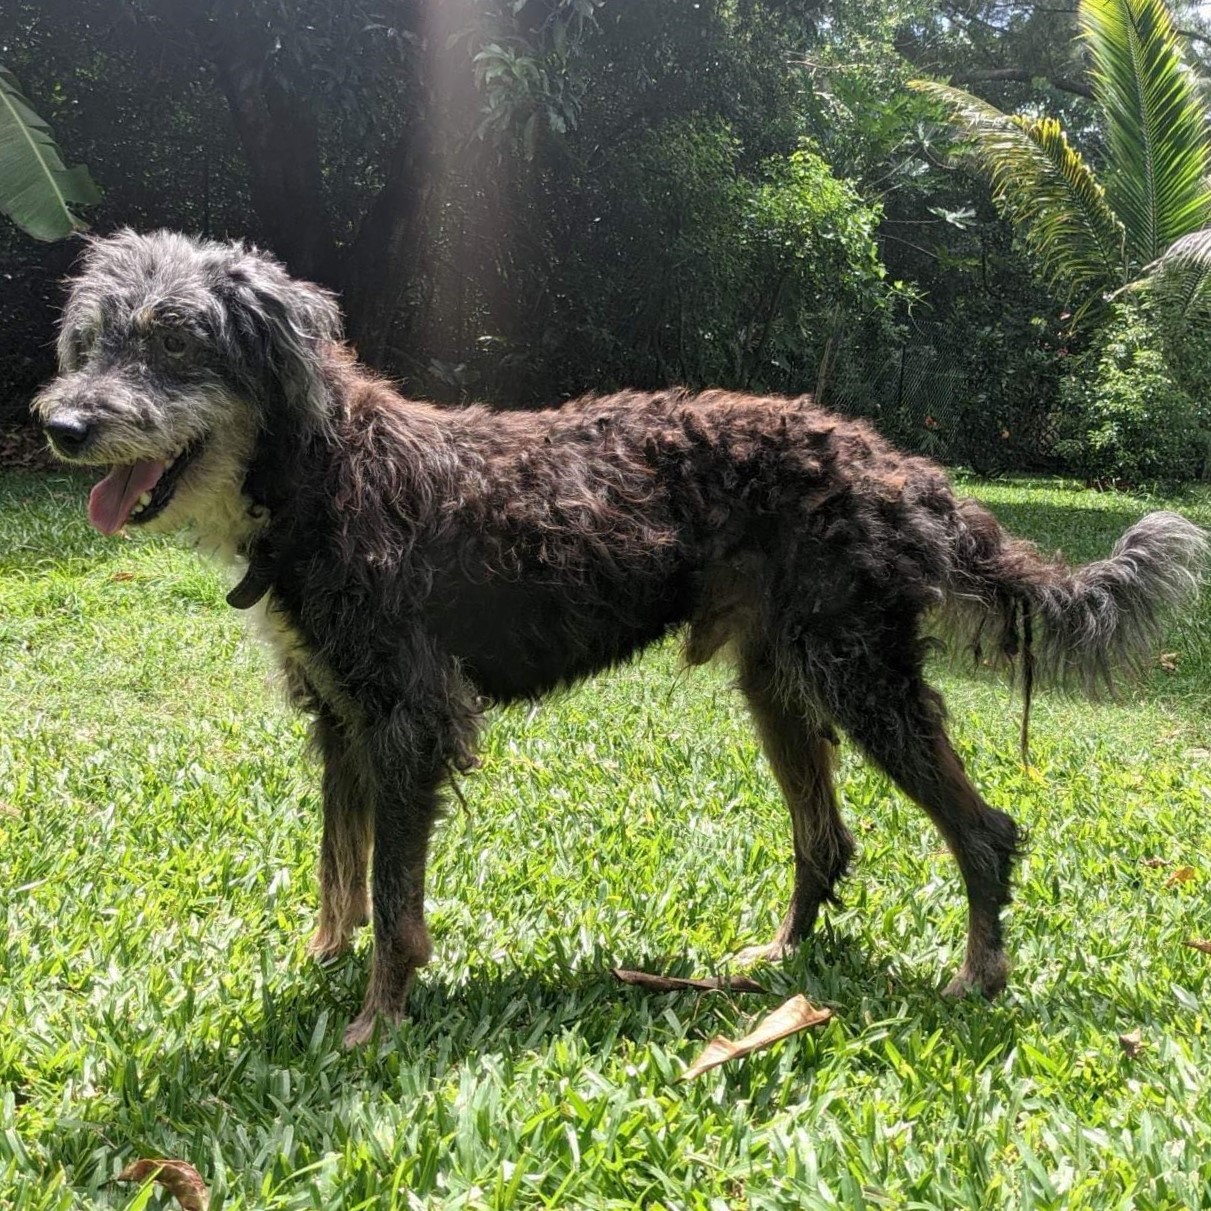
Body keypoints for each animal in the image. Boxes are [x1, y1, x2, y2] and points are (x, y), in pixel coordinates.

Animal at [33, 231, 1206, 1046]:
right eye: (92, 339)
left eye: (177, 340)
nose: (62, 426)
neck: (321, 469)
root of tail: (897, 468)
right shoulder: (339, 716)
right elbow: (341, 870)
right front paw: (325, 961)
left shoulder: (409, 719)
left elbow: (395, 901)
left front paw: (374, 1022)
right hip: (781, 683)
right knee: (826, 840)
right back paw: (776, 960)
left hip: (860, 679)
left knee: (984, 832)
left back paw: (974, 975)